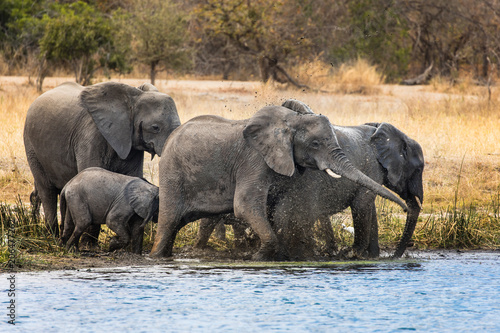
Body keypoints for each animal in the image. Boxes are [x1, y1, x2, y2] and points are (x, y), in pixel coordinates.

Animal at [23, 80, 180, 237]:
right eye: (155, 127)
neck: (133, 97)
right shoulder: (90, 136)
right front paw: (89, 242)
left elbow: (133, 180)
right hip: (32, 147)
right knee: (47, 191)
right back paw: (52, 236)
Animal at [150, 100, 408, 260]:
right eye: (315, 144)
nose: (405, 208)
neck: (290, 122)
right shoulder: (253, 160)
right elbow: (245, 206)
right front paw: (258, 256)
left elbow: (281, 209)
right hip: (173, 173)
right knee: (169, 220)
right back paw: (155, 257)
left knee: (174, 226)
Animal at [270, 120, 426, 258]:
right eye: (419, 170)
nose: (394, 257)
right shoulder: (373, 166)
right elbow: (361, 204)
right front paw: (352, 253)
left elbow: (369, 207)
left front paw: (372, 257)